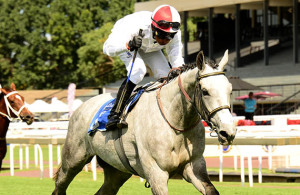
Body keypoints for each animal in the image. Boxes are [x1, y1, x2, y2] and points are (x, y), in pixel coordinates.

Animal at [52, 49, 237, 194]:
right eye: (205, 91)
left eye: (230, 90)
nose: (228, 131)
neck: (176, 124)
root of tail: (81, 107)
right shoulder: (157, 173)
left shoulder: (194, 166)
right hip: (73, 159)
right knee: (60, 185)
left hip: (117, 170)